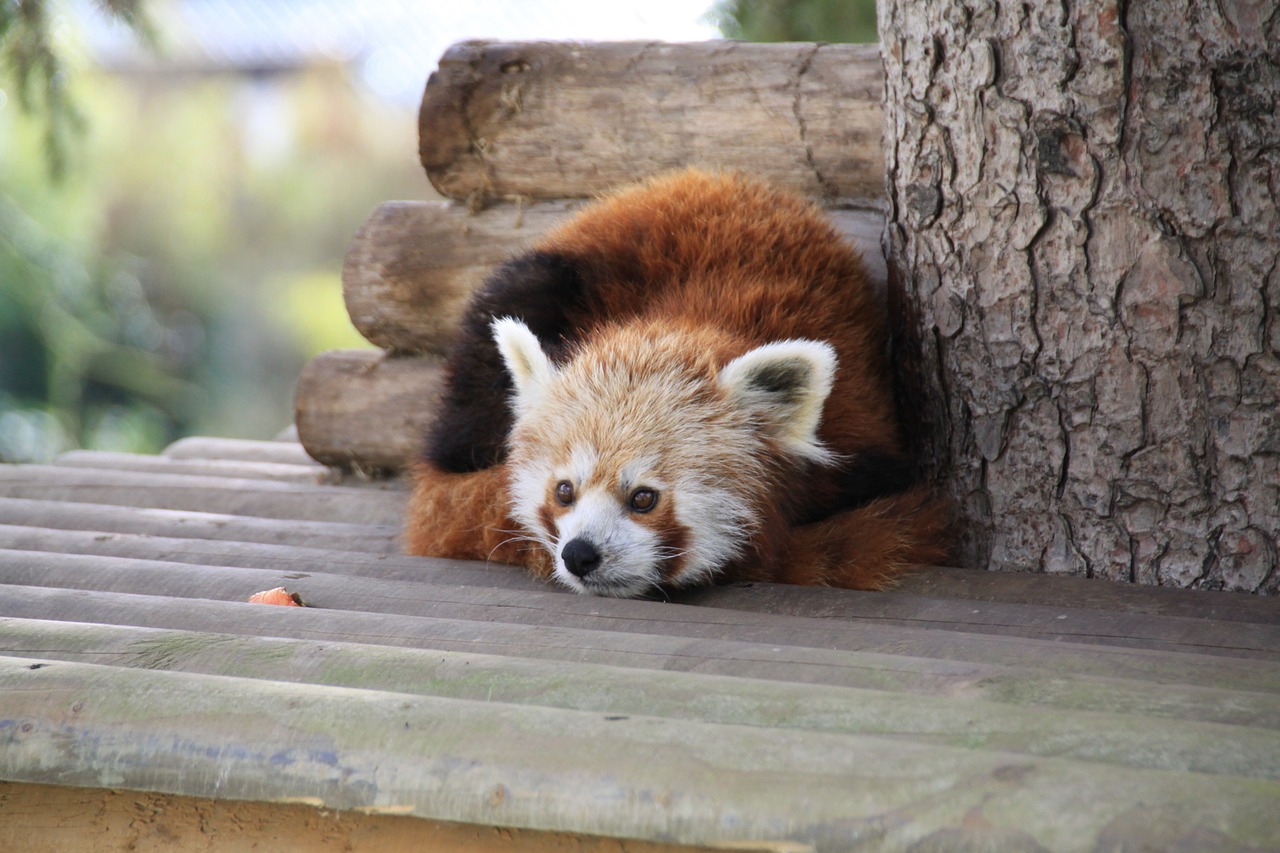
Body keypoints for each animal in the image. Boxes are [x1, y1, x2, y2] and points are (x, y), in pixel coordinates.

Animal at [404, 169, 947, 594]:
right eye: (563, 491)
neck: (686, 321)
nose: (579, 554)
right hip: (538, 283)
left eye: (644, 498)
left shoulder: (860, 433)